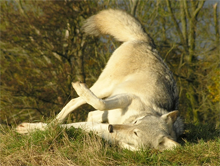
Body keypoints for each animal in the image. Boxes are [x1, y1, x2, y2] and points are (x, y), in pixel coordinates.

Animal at [15, 9, 184, 152]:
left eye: (136, 133)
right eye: (136, 122)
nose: (111, 128)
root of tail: (148, 41)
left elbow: (75, 125)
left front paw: (30, 129)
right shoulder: (128, 97)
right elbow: (100, 104)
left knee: (87, 112)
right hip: (105, 86)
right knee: (77, 101)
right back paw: (75, 94)